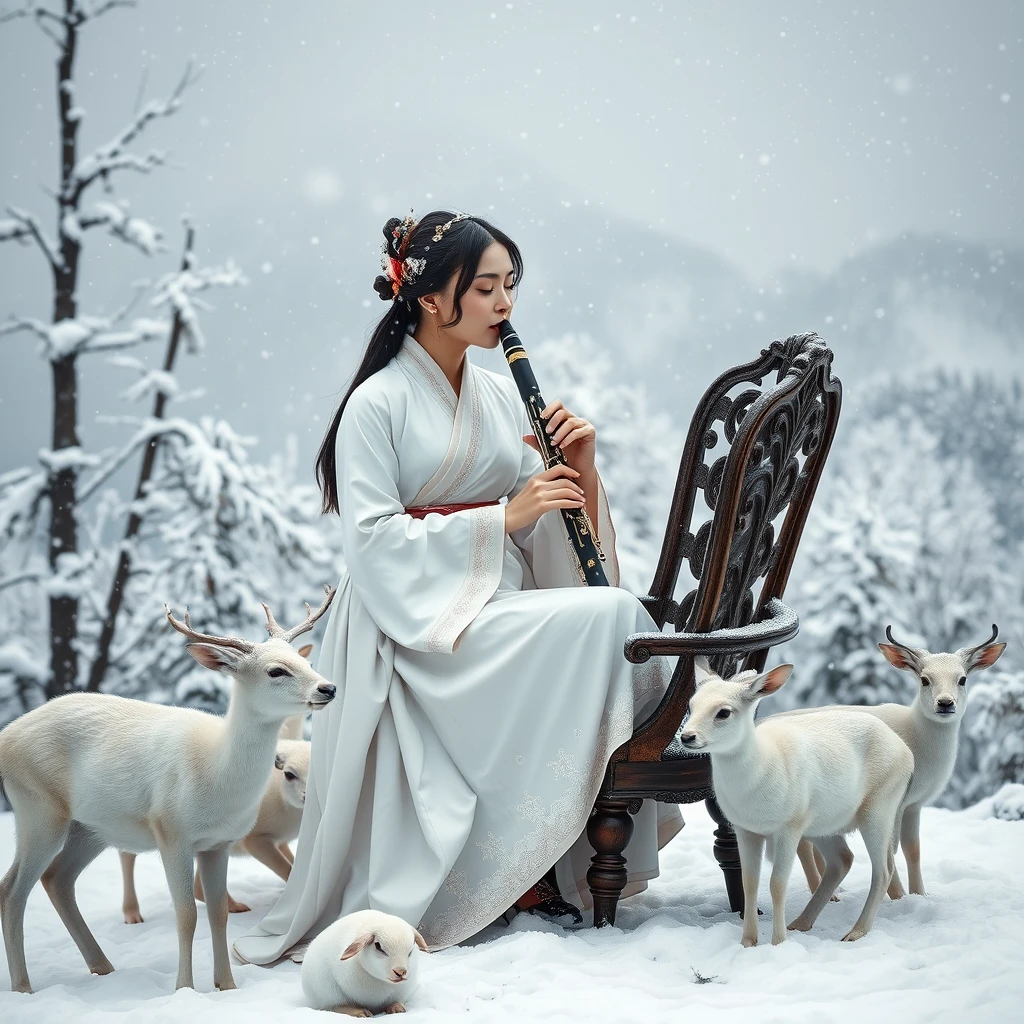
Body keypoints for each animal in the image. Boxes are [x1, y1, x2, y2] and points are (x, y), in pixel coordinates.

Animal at [0, 589, 335, 995]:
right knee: (12, 890)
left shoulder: (219, 843)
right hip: (38, 808)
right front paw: (184, 989)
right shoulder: (172, 832)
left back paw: (102, 966)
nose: (328, 688)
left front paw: (227, 986)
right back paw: (23, 986)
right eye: (275, 671)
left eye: (306, 662)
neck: (217, 774)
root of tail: (5, 737)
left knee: (57, 880)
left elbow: (218, 913)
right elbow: (187, 913)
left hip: (91, 828)